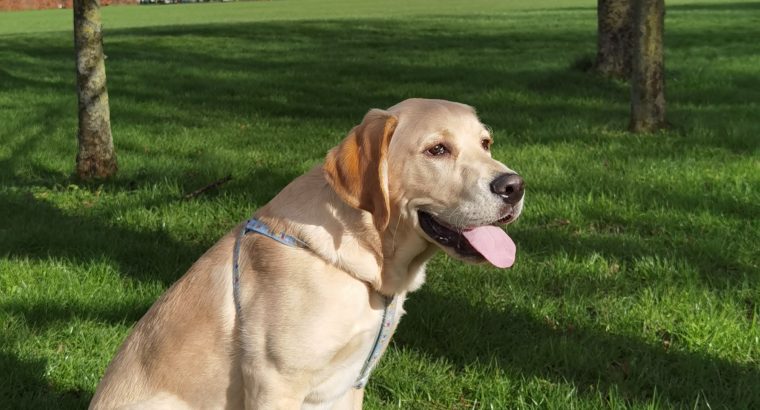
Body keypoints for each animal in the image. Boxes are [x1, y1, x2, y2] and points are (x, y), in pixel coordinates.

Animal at [90, 97, 524, 408]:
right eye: (437, 150)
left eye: (486, 143)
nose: (514, 186)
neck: (369, 265)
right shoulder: (274, 383)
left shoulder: (350, 383)